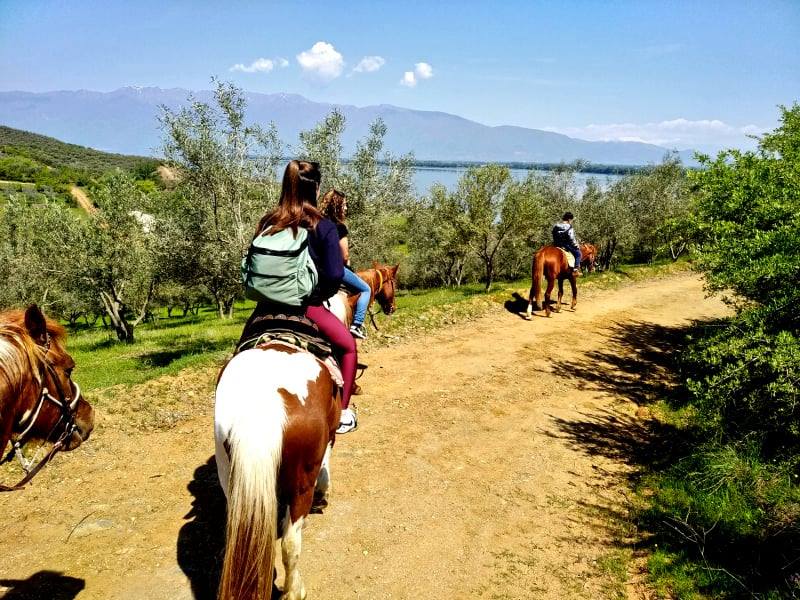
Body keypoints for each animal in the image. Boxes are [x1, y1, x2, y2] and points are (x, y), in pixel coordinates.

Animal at [214, 342, 340, 600]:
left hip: (228, 475)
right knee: (290, 544)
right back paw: (293, 591)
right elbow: (325, 465)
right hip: (302, 485)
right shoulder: (330, 434)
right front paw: (324, 494)